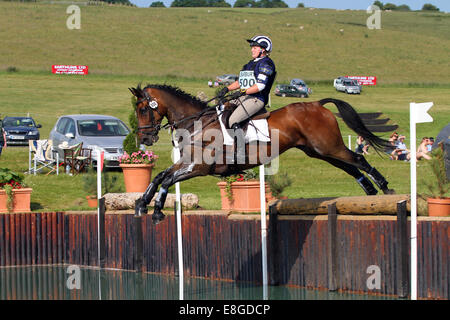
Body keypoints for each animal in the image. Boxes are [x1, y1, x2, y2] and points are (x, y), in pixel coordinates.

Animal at [129, 85, 394, 225]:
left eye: (143, 109)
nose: (145, 139)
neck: (197, 123)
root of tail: (317, 103)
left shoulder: (199, 167)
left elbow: (167, 179)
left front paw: (155, 209)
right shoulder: (187, 163)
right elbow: (160, 177)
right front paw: (144, 204)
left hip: (328, 146)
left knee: (357, 160)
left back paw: (384, 188)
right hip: (318, 151)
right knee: (349, 167)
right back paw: (369, 191)